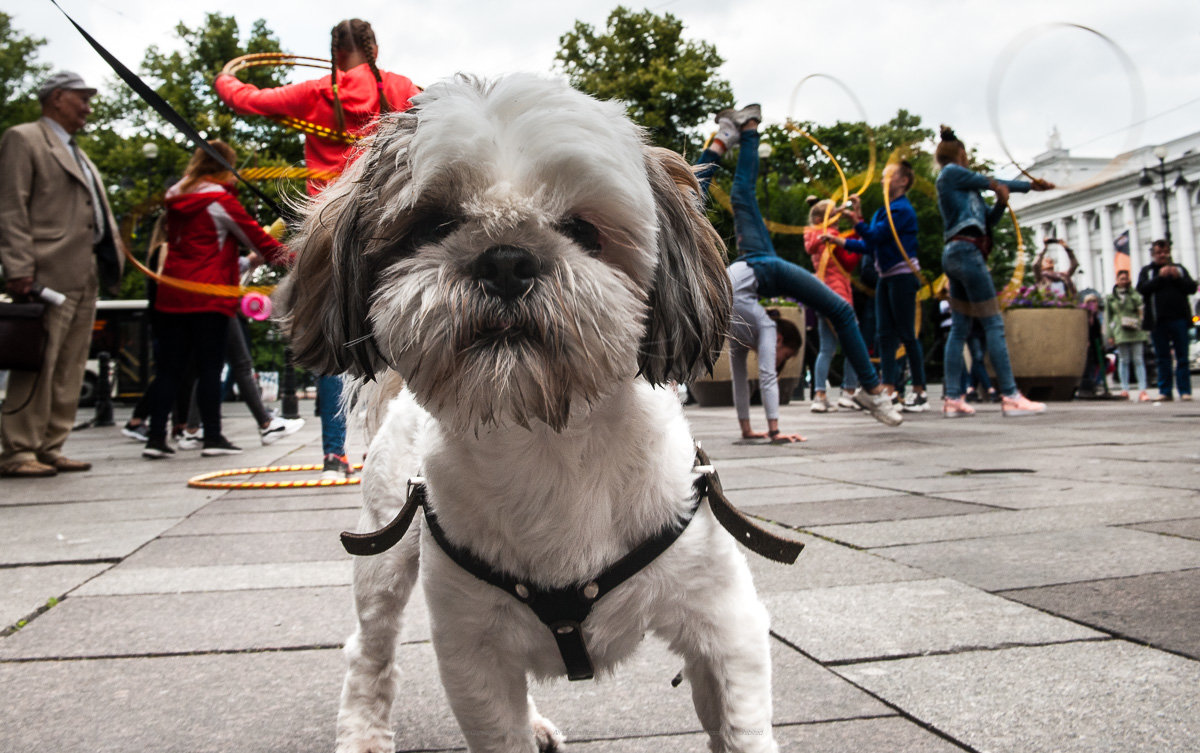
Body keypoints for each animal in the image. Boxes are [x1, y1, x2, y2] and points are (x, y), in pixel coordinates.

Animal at [278, 71, 787, 753]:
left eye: (583, 229)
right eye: (431, 222)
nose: (506, 257)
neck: (550, 448)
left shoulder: (723, 624)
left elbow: (739, 728)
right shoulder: (472, 655)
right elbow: (499, 727)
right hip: (382, 553)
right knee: (370, 649)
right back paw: (363, 733)